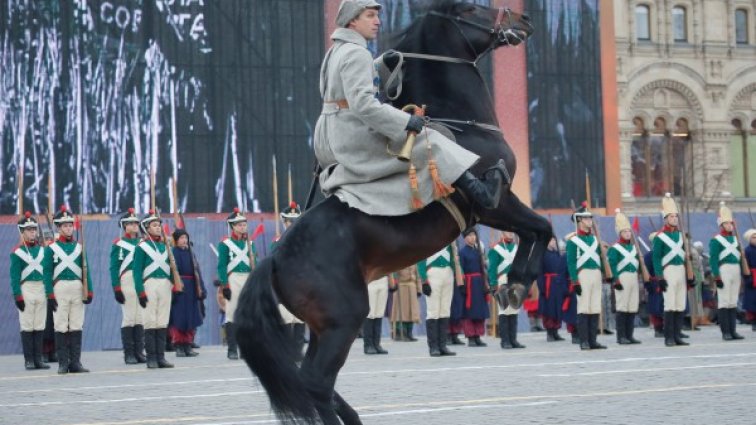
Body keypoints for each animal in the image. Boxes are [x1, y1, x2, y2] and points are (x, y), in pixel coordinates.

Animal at [236, 1, 548, 422]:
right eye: (470, 8)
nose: (523, 19)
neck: (466, 125)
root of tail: (272, 260)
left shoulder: (494, 212)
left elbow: (533, 232)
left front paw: (513, 283)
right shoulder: (497, 203)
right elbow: (542, 227)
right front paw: (516, 284)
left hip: (323, 328)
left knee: (313, 382)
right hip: (344, 320)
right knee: (315, 382)